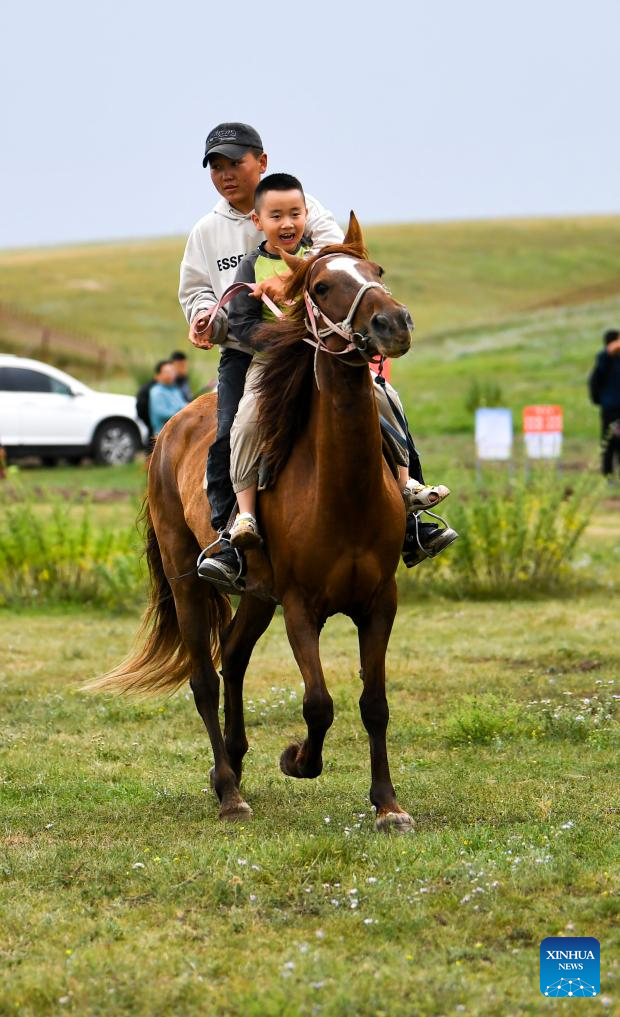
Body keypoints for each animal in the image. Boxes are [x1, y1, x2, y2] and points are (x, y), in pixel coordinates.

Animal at [93, 216, 414, 833]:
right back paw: (227, 791)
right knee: (204, 679)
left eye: (377, 270)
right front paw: (298, 760)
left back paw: (236, 766)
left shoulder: (379, 602)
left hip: (258, 596)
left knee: (234, 660)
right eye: (321, 287)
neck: (343, 490)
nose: (394, 323)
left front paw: (388, 804)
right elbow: (319, 702)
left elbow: (375, 704)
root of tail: (167, 432)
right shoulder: (301, 607)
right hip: (188, 583)